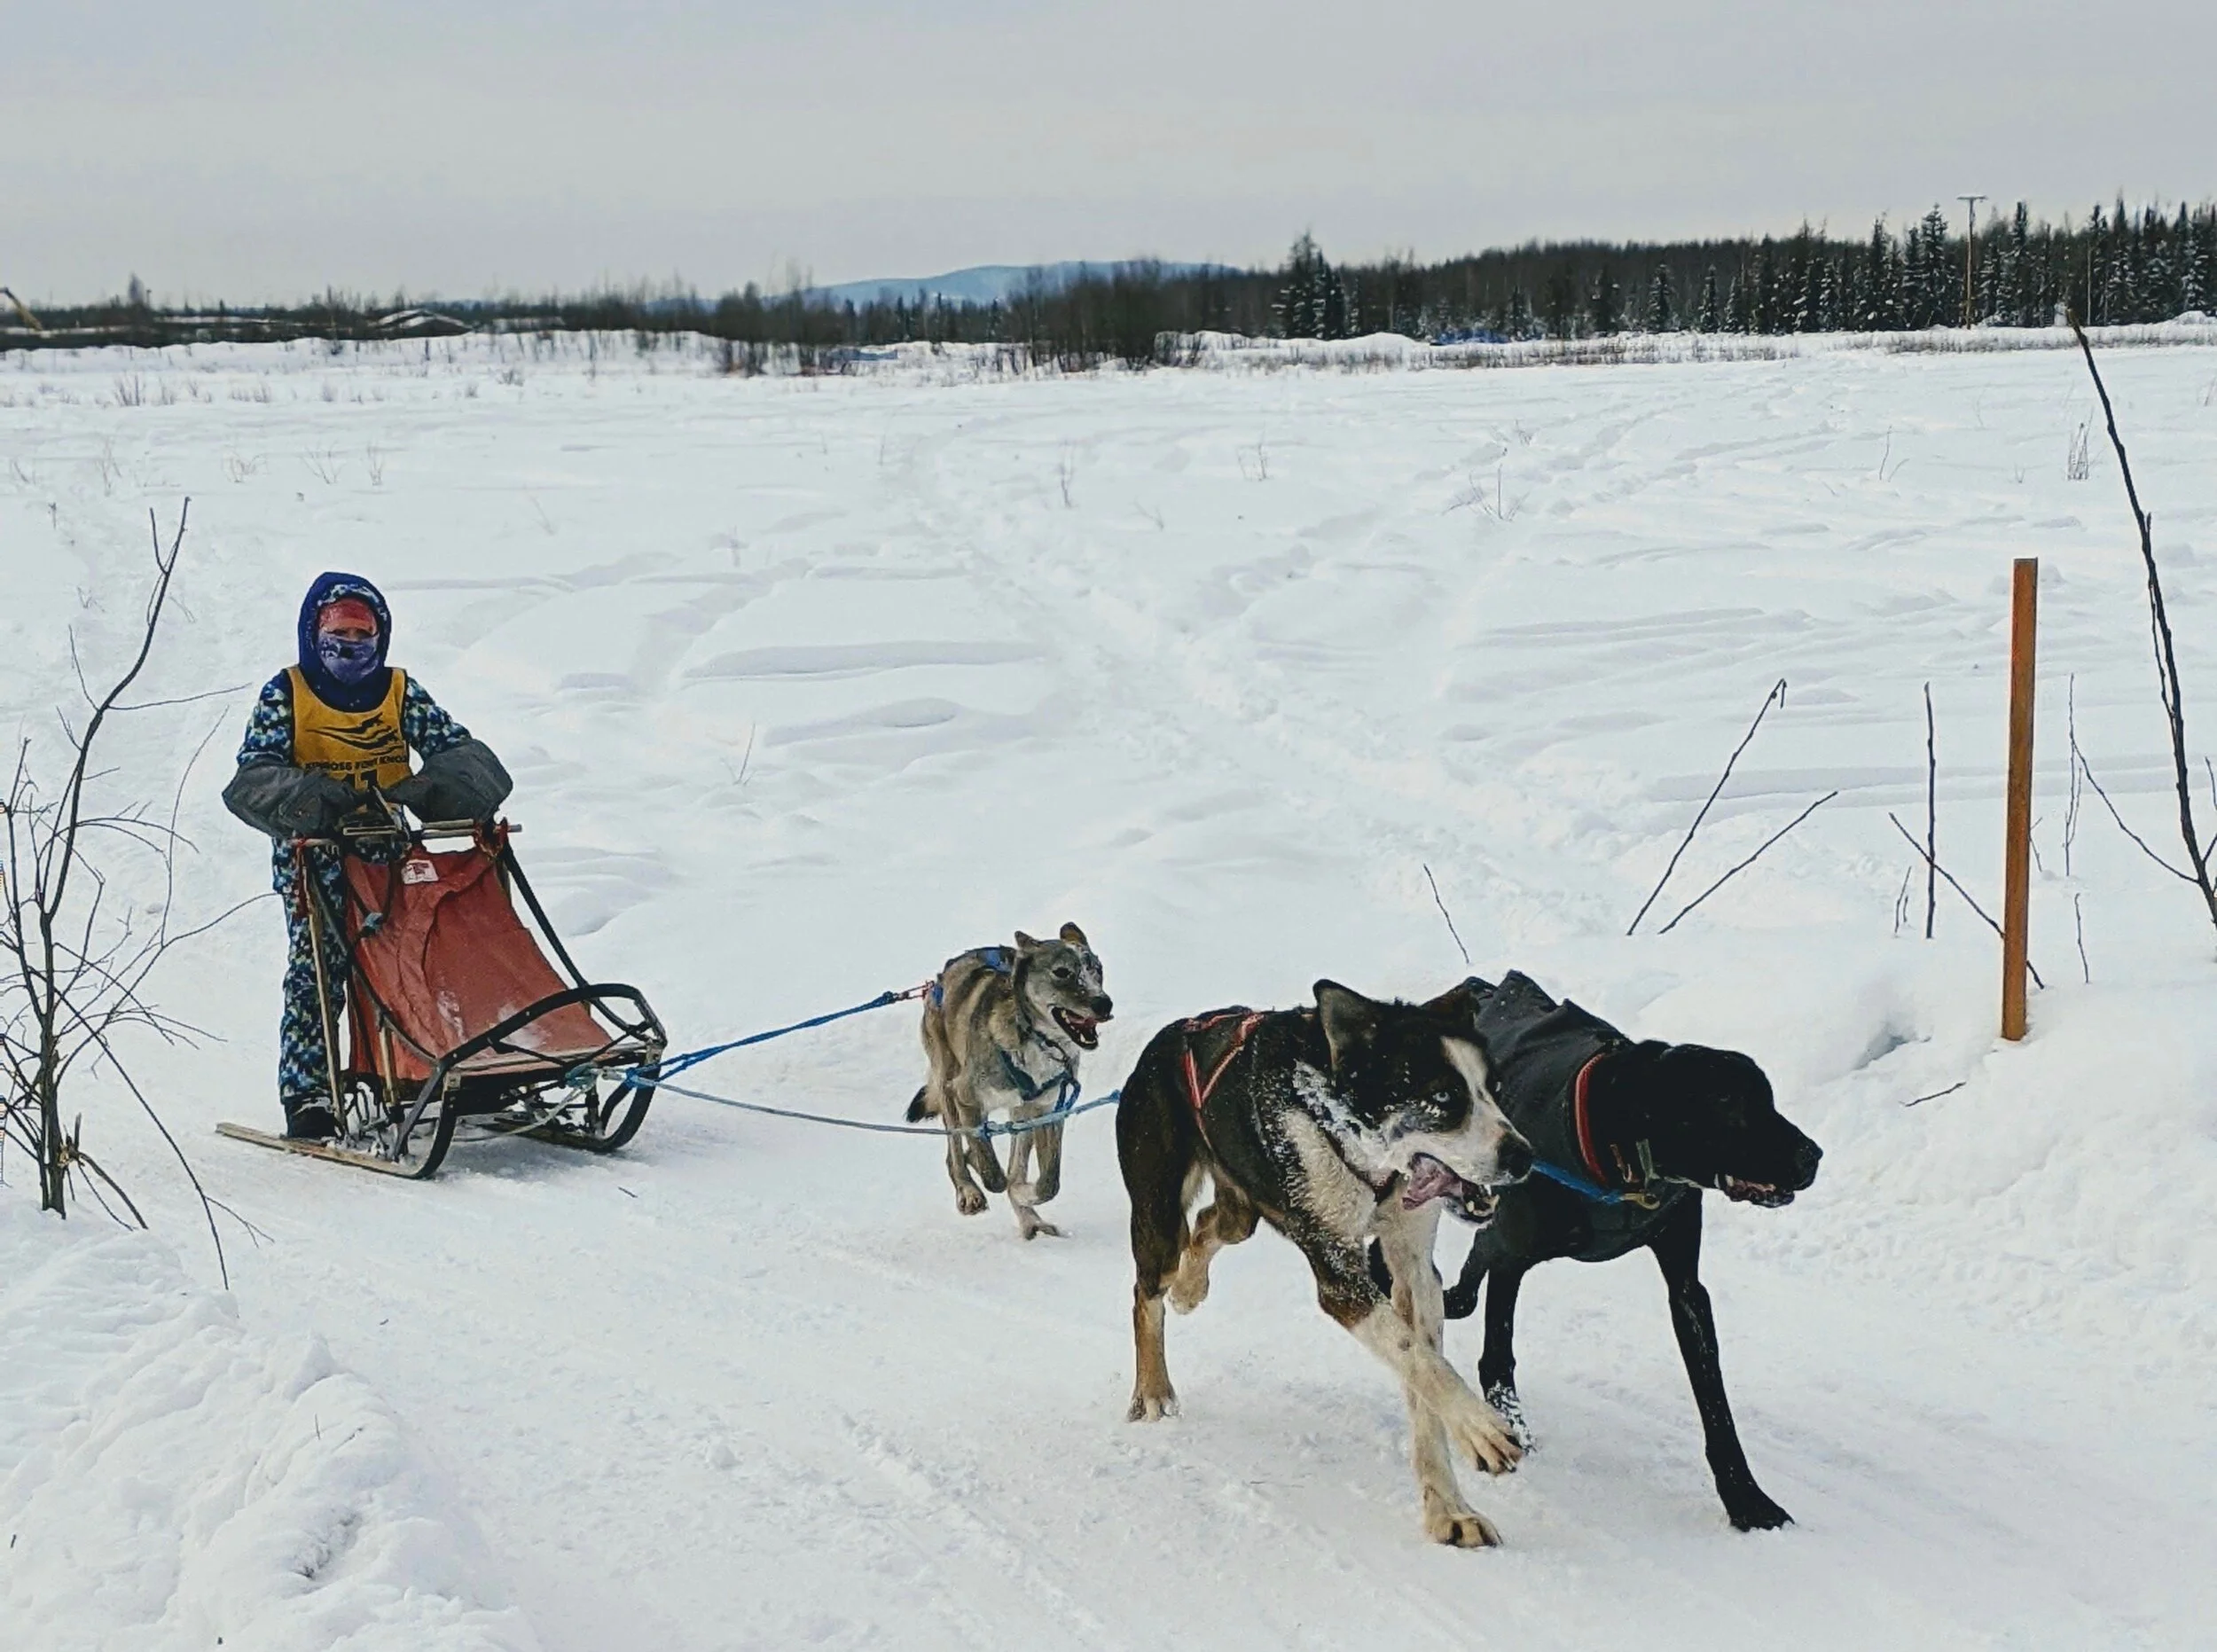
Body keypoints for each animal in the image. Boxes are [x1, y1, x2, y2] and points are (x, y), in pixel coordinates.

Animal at [906, 924, 1111, 1239]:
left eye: (1096, 970)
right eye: (1062, 972)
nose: (1104, 1003)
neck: (1036, 1040)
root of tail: (941, 977)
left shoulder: (1048, 1111)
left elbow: (1048, 1182)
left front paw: (1024, 1196)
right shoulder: (966, 1096)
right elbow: (994, 1175)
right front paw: (986, 1170)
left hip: (1021, 1113)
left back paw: (1030, 1219)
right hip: (947, 1083)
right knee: (955, 1152)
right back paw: (968, 1189)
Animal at [1117, 979, 1536, 1547]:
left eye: (1494, 1086)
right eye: (1444, 1097)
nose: (1523, 1156)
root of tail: (1167, 1038)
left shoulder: (1414, 1272)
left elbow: (1424, 1375)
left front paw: (1449, 1509)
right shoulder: (1339, 1275)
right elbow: (1421, 1361)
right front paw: (1482, 1429)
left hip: (1242, 1210)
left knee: (1208, 1225)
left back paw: (1190, 1287)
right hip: (1158, 1216)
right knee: (1145, 1296)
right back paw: (1155, 1389)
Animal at [1418, 971, 1822, 1532]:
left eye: (1769, 1099)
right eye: (1732, 1104)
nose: (1813, 1156)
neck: (1624, 1153)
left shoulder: (1685, 1285)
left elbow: (1715, 1403)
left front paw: (1745, 1497)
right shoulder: (1514, 1255)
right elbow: (1498, 1352)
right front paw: (1508, 1427)